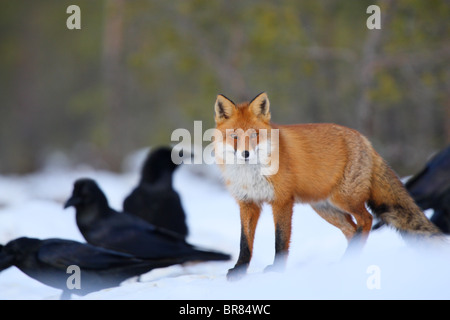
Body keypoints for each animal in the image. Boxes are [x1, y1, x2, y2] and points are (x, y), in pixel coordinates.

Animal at [214, 92, 442, 280]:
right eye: (234, 136)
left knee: (366, 220)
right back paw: (347, 262)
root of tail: (365, 140)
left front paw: (277, 271)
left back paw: (349, 260)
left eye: (254, 135)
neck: (250, 174)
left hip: (345, 200)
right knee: (352, 230)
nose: (245, 154)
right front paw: (239, 270)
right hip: (326, 209)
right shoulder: (247, 203)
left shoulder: (282, 201)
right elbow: (245, 242)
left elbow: (280, 240)